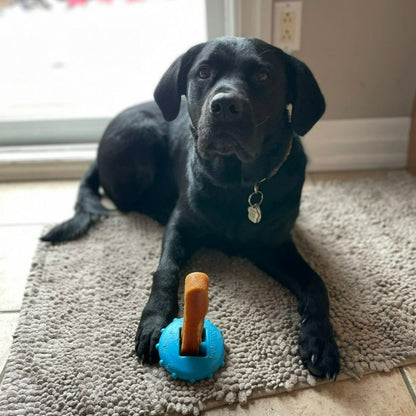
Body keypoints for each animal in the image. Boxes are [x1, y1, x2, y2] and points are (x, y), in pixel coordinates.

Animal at [42, 36, 340, 380]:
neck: (237, 184)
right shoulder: (180, 226)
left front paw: (320, 342)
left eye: (263, 76)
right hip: (140, 136)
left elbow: (316, 283)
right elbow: (166, 270)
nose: (224, 106)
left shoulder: (274, 245)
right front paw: (154, 321)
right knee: (127, 200)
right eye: (203, 72)